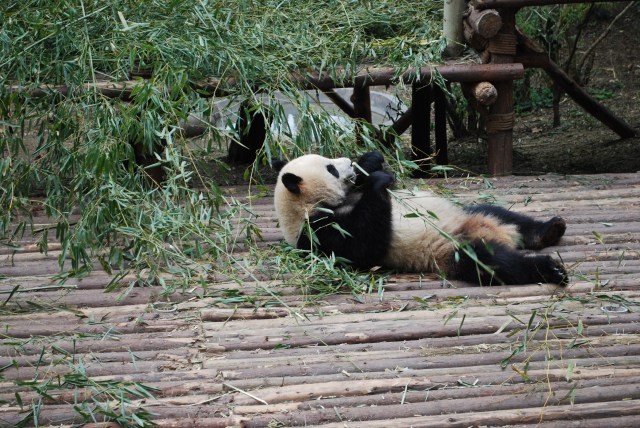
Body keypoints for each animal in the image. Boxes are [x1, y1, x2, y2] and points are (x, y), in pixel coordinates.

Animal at [273, 151, 568, 286]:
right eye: (331, 168)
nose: (346, 161)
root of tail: (496, 233)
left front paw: (369, 162)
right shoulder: (319, 232)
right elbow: (364, 246)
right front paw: (379, 180)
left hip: (467, 213)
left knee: (501, 213)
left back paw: (549, 230)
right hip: (451, 249)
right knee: (491, 261)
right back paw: (549, 269)